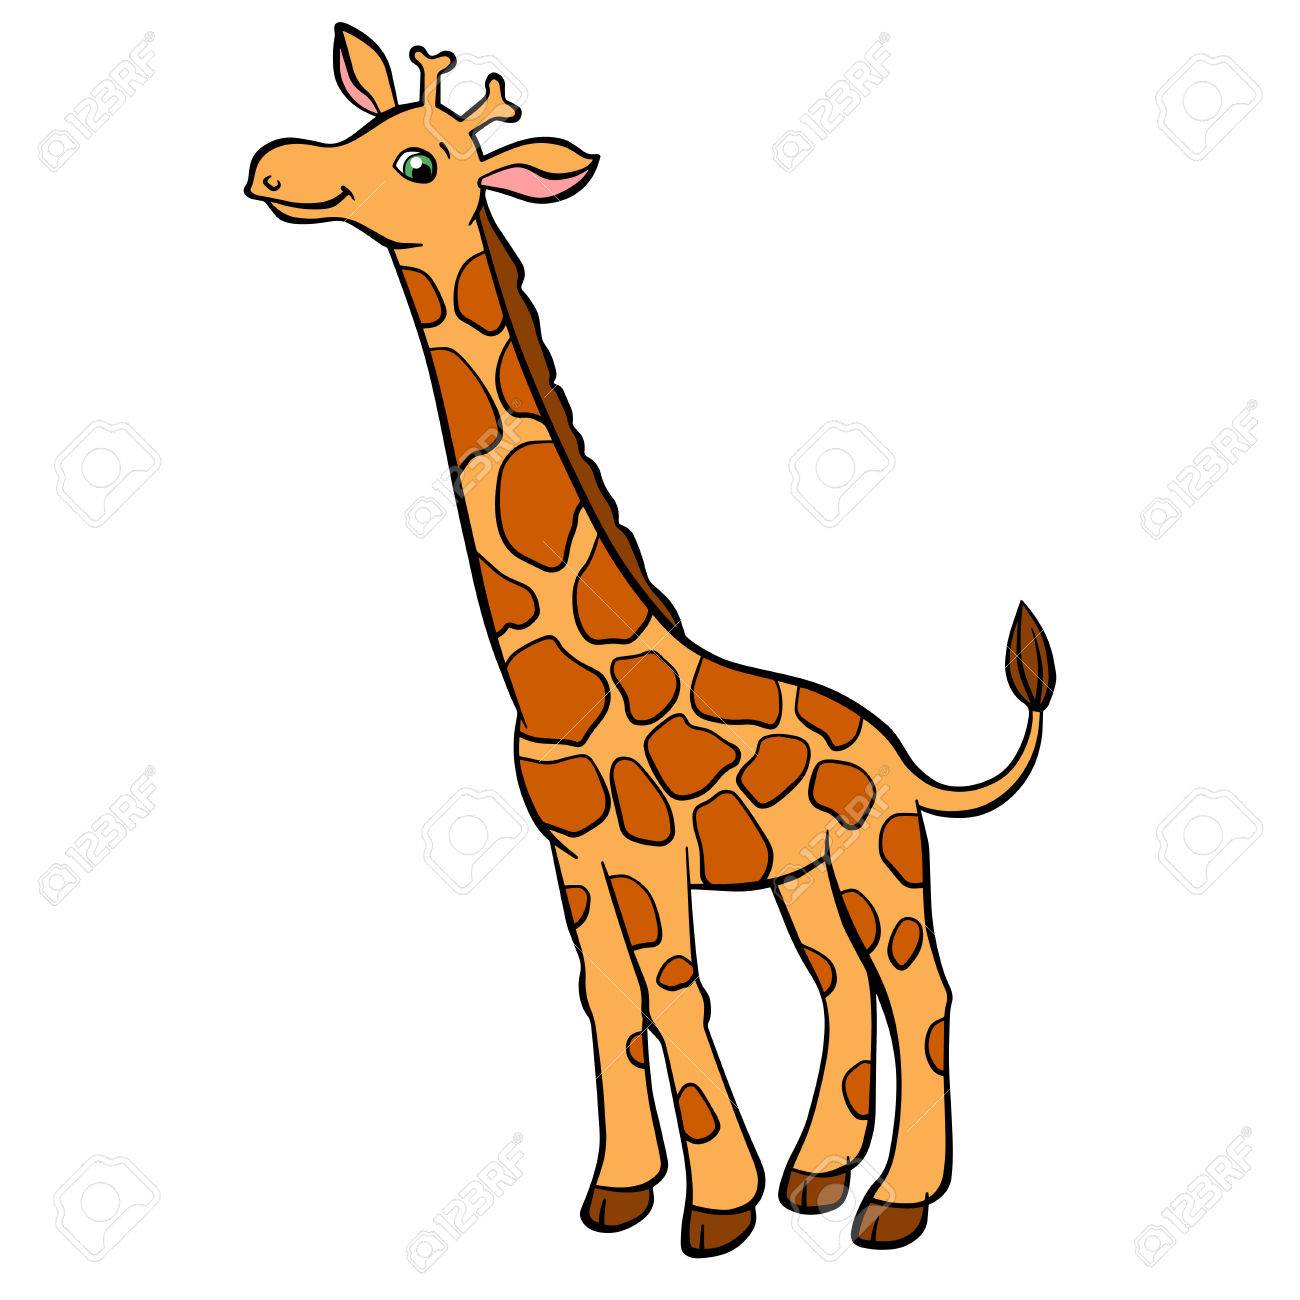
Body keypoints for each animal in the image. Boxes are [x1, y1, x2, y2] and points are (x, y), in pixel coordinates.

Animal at [246, 25, 1056, 1258]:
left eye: (420, 161)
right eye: (360, 124)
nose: (274, 167)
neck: (548, 681)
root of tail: (902, 759)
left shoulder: (647, 850)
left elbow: (677, 989)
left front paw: (716, 1209)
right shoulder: (572, 853)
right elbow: (608, 1001)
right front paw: (622, 1192)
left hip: (881, 855)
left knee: (921, 990)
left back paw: (895, 1202)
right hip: (802, 873)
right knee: (838, 984)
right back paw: (818, 1177)